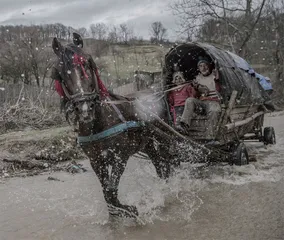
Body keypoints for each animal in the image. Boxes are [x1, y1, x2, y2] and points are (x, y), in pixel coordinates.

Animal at [51, 32, 174, 218]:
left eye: (87, 64)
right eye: (61, 73)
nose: (85, 107)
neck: (98, 124)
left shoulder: (120, 157)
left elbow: (111, 191)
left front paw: (131, 210)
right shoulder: (96, 161)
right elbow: (107, 194)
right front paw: (119, 212)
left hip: (164, 140)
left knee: (167, 164)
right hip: (148, 144)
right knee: (160, 166)